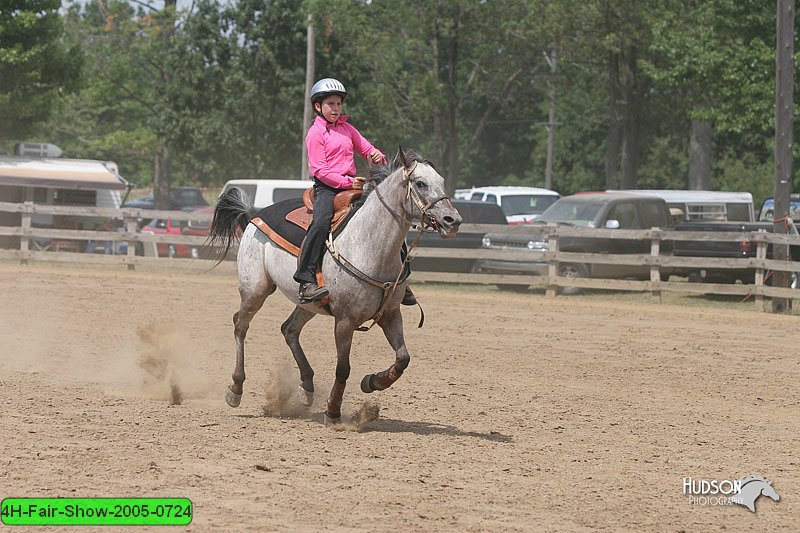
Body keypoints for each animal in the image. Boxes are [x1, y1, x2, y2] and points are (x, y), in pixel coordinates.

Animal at [208, 149, 462, 424]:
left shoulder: (391, 314)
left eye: (441, 180)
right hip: (255, 290)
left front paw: (372, 382)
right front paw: (332, 410)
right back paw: (235, 388)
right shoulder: (345, 320)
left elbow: (403, 358)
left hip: (307, 303)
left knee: (289, 329)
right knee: (240, 326)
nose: (453, 220)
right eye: (420, 183)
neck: (368, 245)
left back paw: (307, 387)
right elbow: (343, 368)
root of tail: (253, 216)